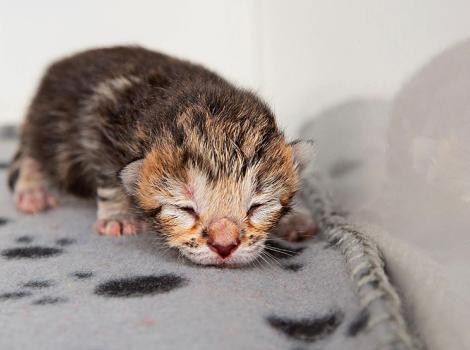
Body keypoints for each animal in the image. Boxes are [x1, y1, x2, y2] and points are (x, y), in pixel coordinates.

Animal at [7, 45, 314, 266]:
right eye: (186, 208)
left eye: (257, 206)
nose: (224, 245)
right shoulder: (100, 114)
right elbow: (109, 174)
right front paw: (119, 216)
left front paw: (295, 218)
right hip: (49, 122)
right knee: (35, 153)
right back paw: (32, 190)